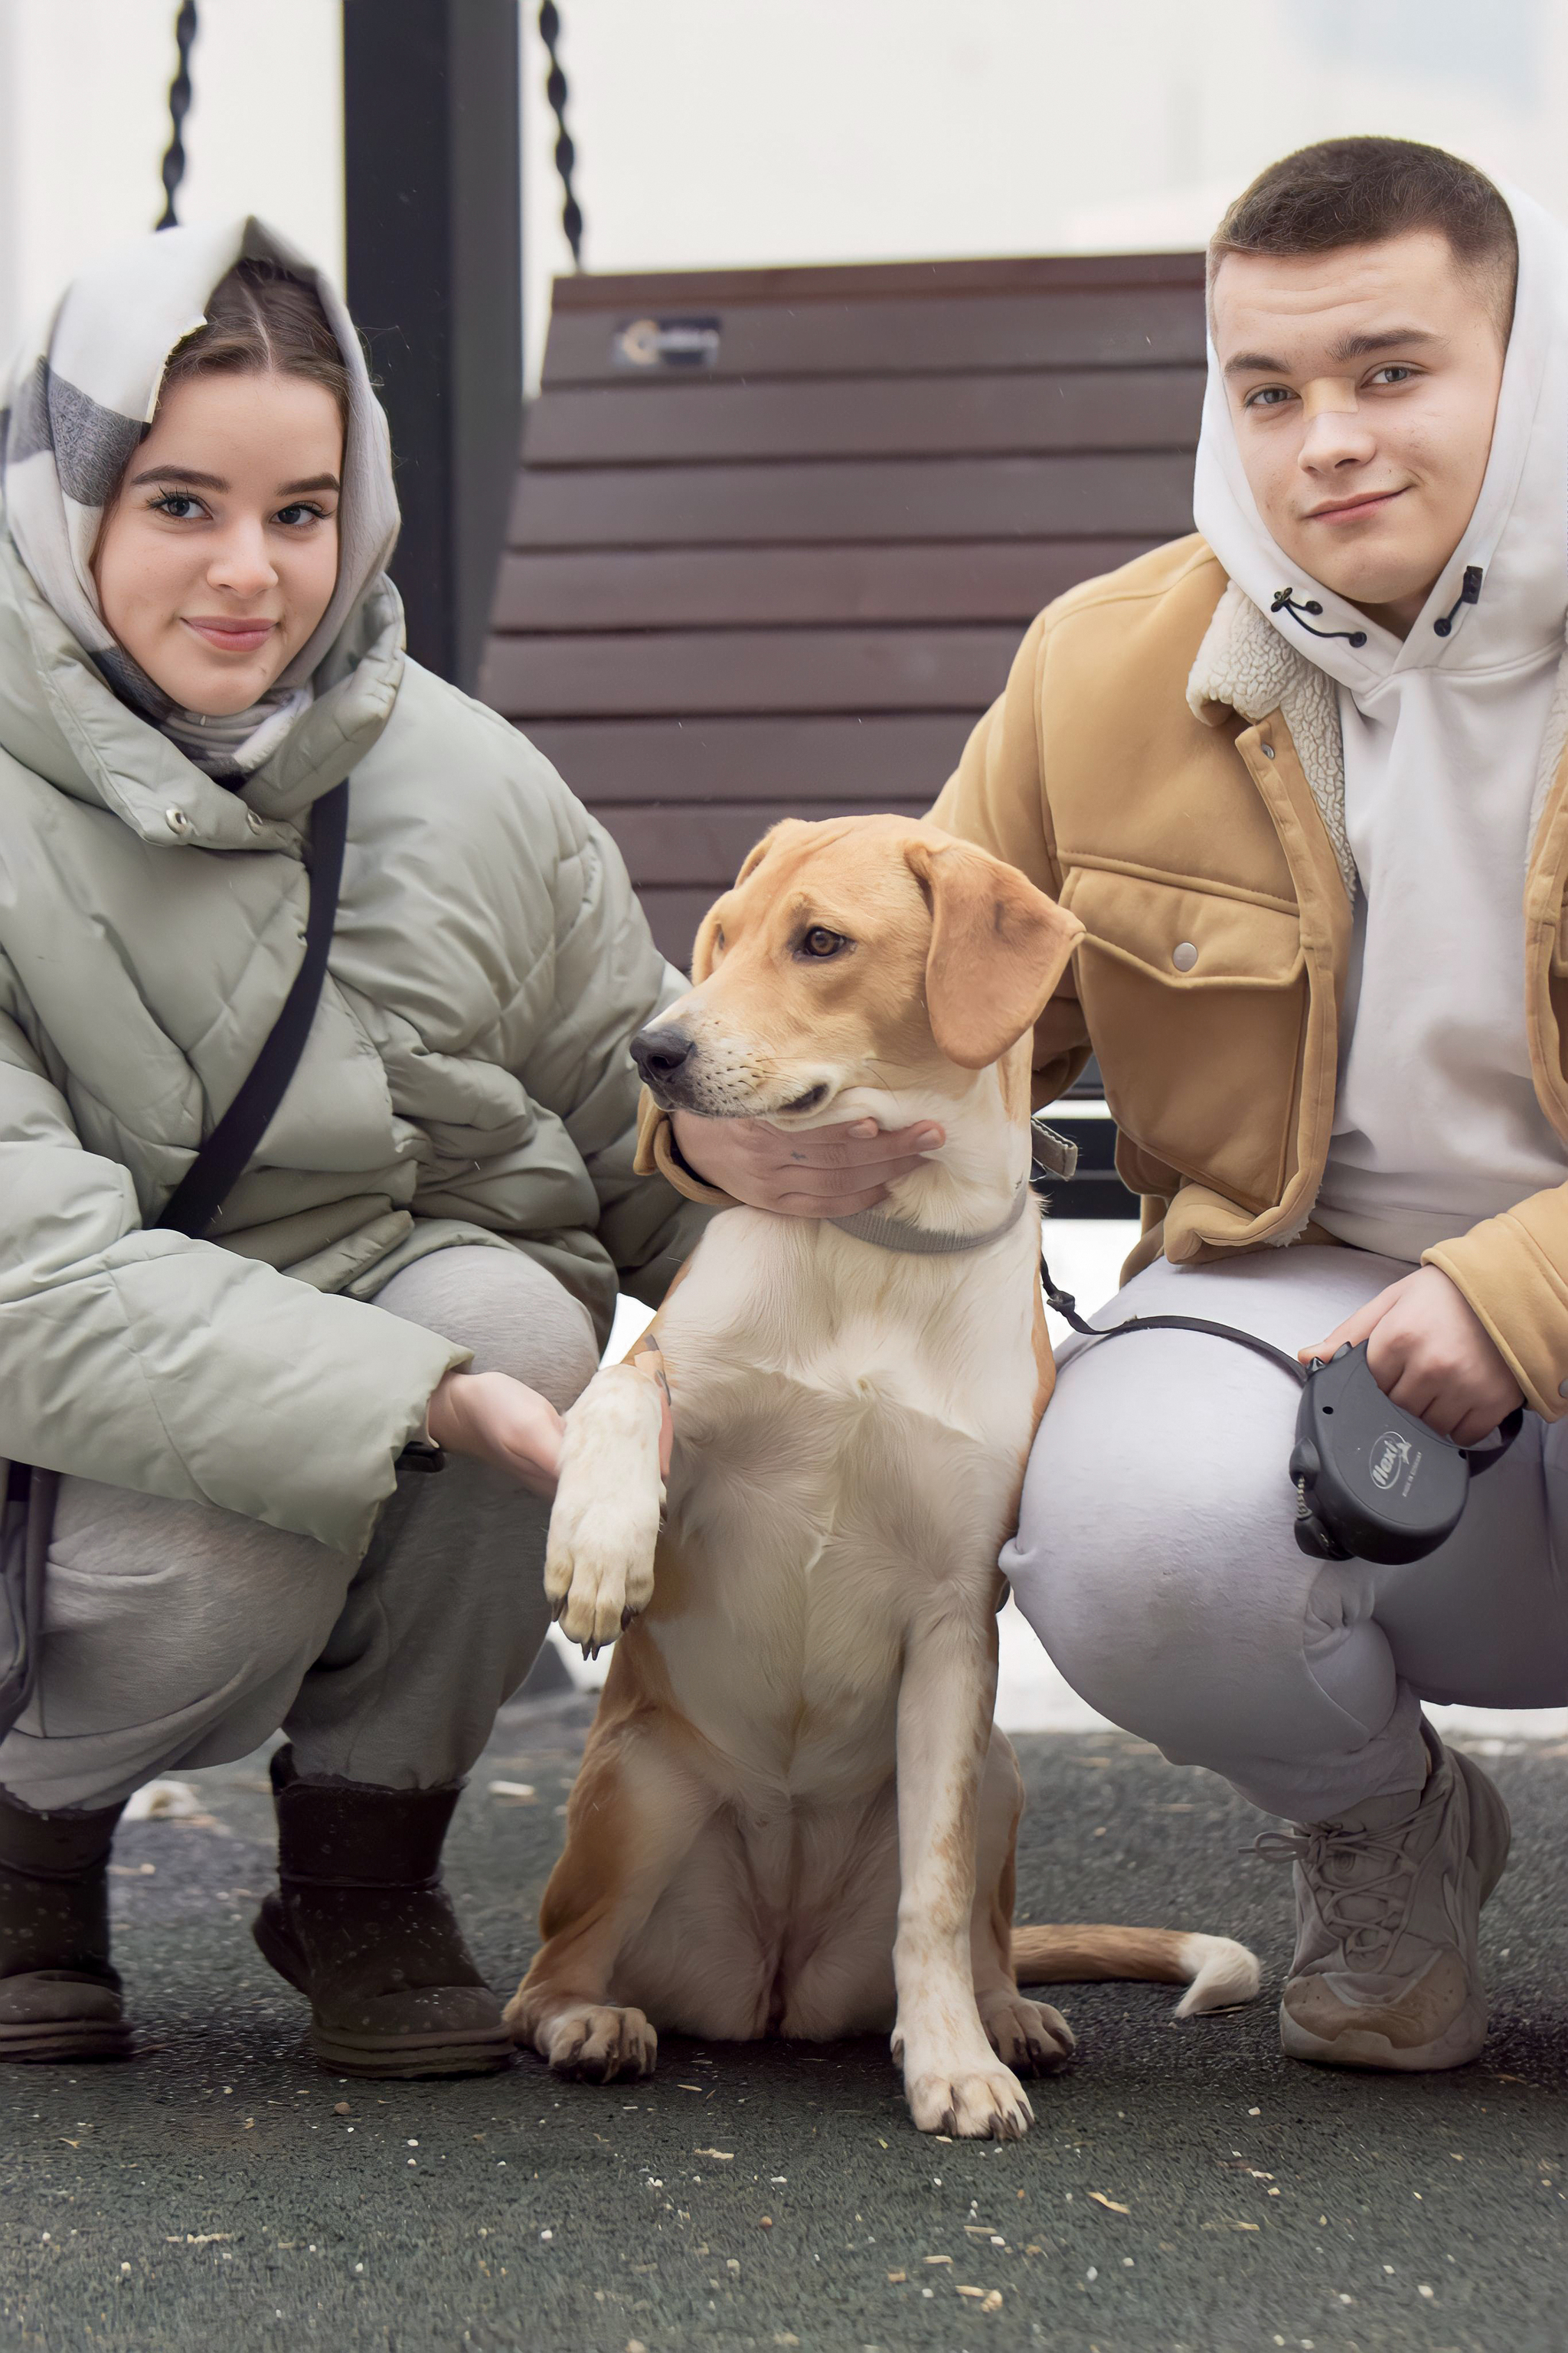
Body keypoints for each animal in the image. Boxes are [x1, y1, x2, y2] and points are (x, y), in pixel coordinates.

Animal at [506, 819, 1252, 2145]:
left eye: (821, 942)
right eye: (720, 937)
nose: (653, 1051)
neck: (883, 1250)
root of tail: (771, 1992)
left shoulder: (956, 1623)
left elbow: (937, 1900)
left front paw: (954, 2061)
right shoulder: (666, 1380)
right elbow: (618, 1396)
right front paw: (598, 1545)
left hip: (998, 1771)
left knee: (981, 1934)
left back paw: (1004, 2014)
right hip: (638, 1794)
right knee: (548, 1976)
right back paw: (589, 2023)